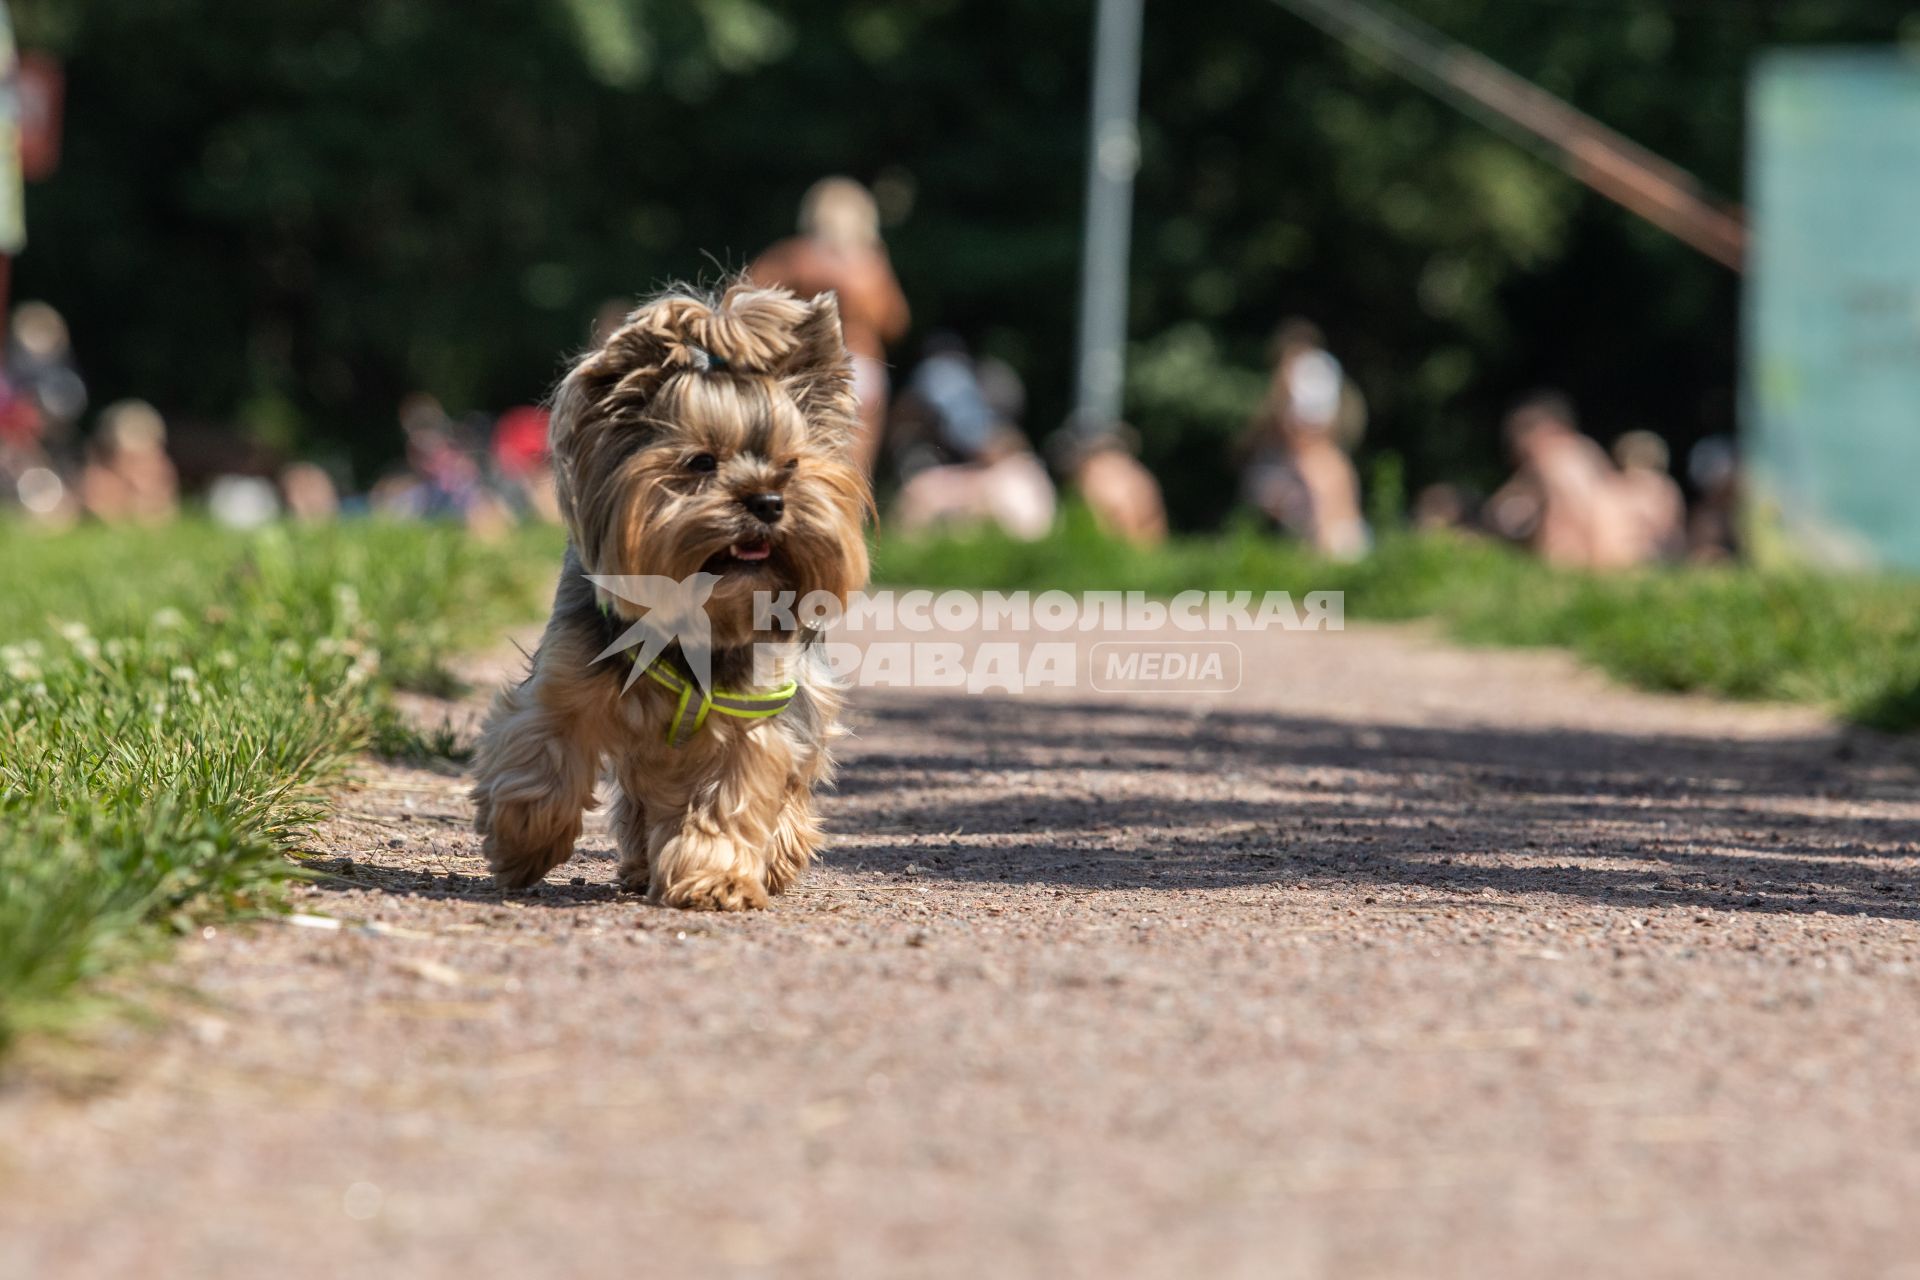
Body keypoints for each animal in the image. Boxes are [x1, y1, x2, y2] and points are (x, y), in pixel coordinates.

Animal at [470, 287, 871, 909]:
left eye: (792, 464)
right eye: (701, 461)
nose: (769, 501)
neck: (701, 616)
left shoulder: (755, 714)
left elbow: (731, 796)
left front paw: (717, 879)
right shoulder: (565, 682)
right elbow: (542, 755)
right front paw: (523, 842)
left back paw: (777, 855)